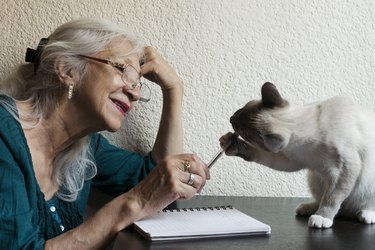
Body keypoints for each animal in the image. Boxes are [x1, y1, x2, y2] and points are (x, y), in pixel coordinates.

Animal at [220, 82, 375, 229]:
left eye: (241, 130)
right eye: (240, 111)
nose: (231, 118)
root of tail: (349, 211)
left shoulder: (344, 170)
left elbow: (332, 198)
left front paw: (323, 217)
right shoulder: (291, 160)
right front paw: (229, 143)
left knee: (348, 205)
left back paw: (365, 215)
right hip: (314, 179)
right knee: (325, 201)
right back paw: (307, 208)